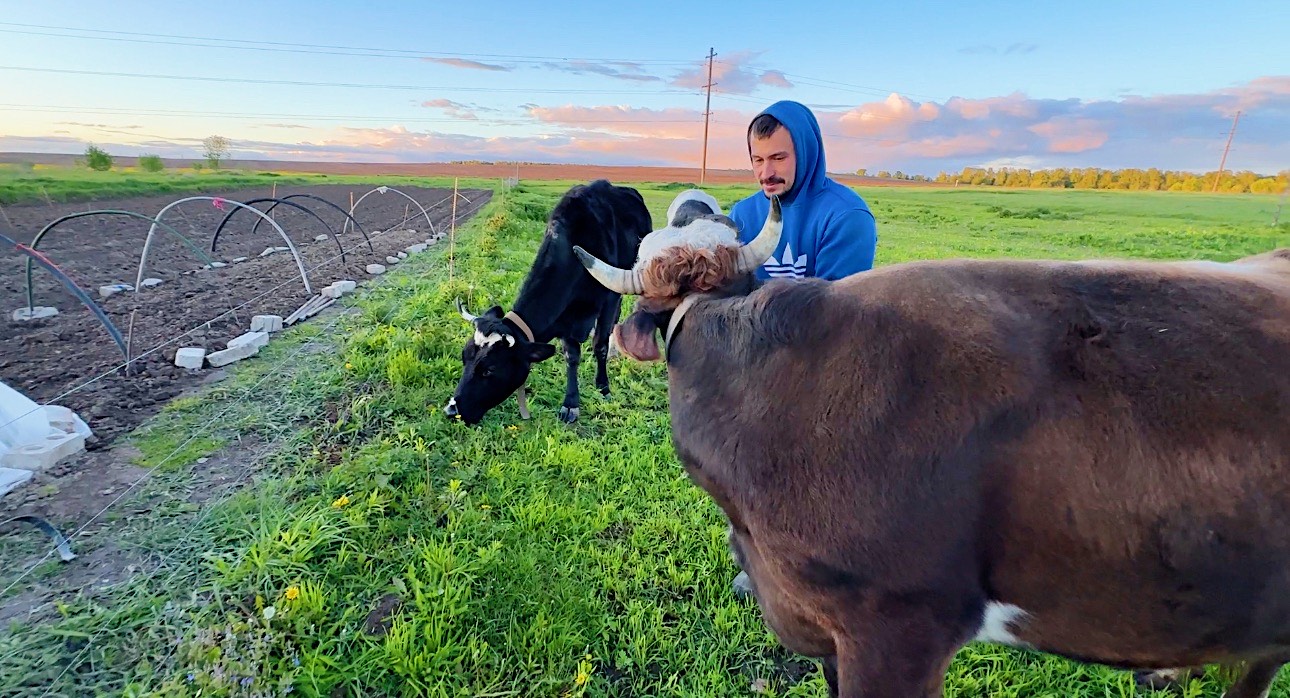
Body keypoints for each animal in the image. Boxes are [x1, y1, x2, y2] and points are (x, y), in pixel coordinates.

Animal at [448, 179, 655, 425]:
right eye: (464, 357)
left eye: (489, 369)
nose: (451, 410)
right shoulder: (565, 316)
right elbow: (571, 355)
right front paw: (571, 402)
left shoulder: (608, 297)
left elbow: (600, 345)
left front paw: (602, 387)